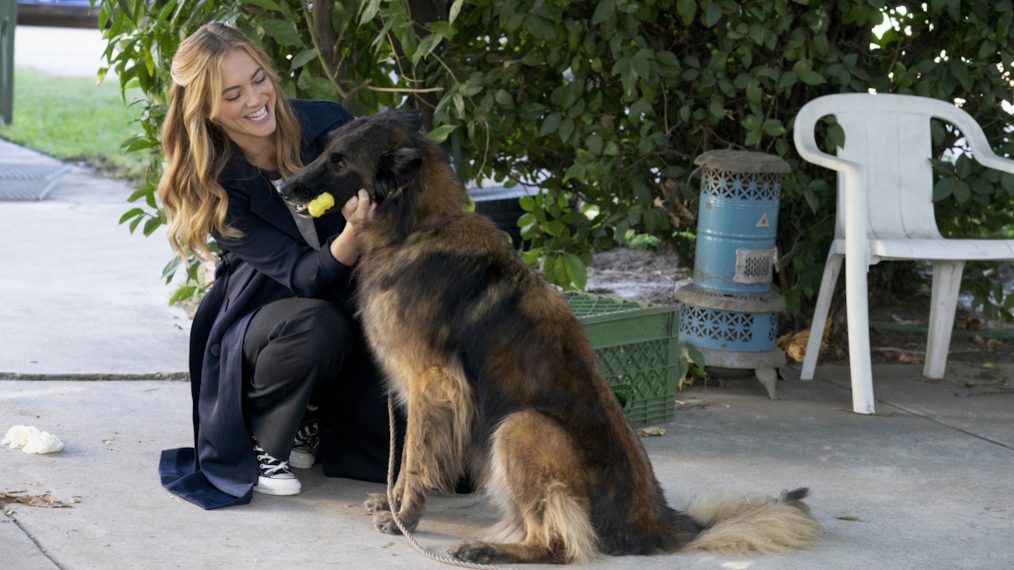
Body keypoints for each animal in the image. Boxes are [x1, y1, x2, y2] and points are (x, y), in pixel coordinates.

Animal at [279, 112, 823, 563]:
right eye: (324, 150)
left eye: (340, 161)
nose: (283, 187)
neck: (419, 227)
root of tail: (654, 522)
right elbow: (409, 454)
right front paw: (391, 503)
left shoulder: (432, 384)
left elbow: (414, 459)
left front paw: (405, 518)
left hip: (521, 426)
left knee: (561, 543)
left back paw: (487, 550)